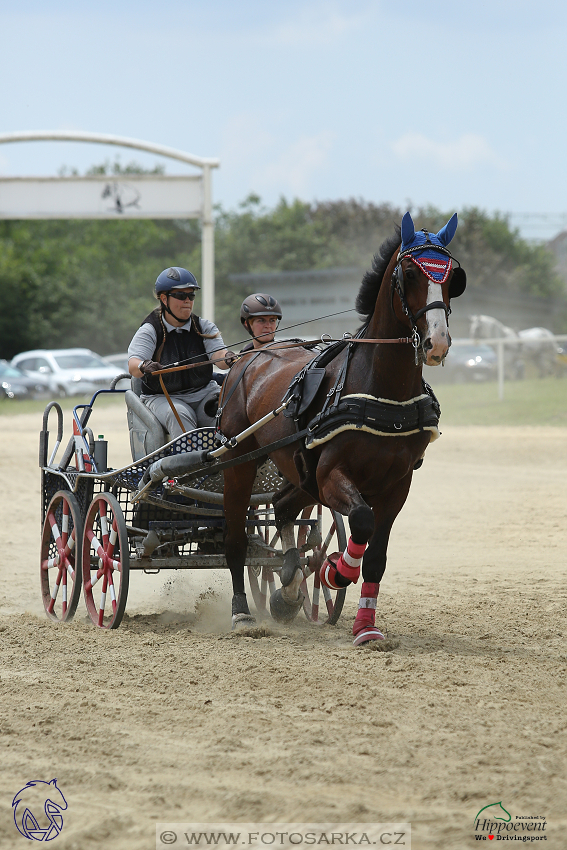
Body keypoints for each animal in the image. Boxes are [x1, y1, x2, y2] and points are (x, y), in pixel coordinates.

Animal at [220, 212, 468, 644]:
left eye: (453, 276)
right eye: (409, 273)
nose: (437, 342)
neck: (379, 389)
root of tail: (249, 358)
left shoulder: (396, 484)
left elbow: (377, 557)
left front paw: (366, 627)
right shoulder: (333, 474)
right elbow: (362, 523)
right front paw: (335, 571)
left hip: (300, 472)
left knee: (283, 508)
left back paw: (288, 589)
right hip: (241, 462)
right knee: (237, 539)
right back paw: (243, 613)